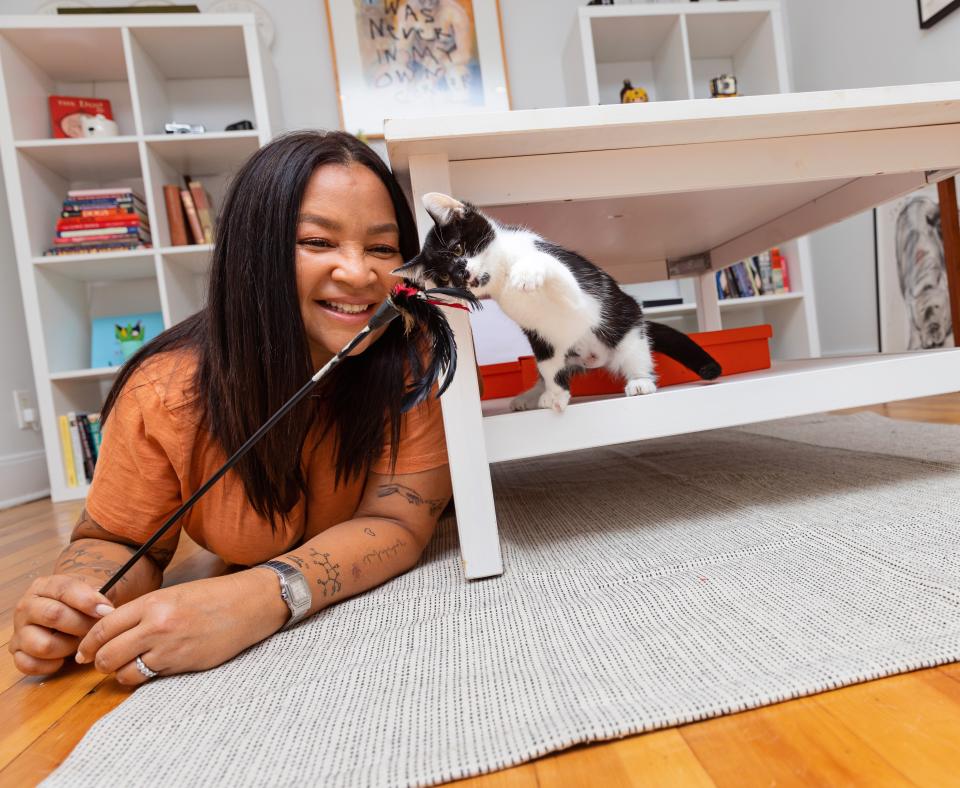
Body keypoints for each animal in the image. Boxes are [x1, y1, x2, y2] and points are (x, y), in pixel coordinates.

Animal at [394, 193, 716, 412]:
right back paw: (529, 396)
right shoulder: (538, 336)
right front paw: (555, 395)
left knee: (634, 351)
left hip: (626, 323)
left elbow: (552, 267)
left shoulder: (579, 298)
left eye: (459, 248)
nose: (462, 274)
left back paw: (640, 381)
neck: (501, 278)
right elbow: (549, 364)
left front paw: (525, 272)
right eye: (444, 278)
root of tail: (594, 360)